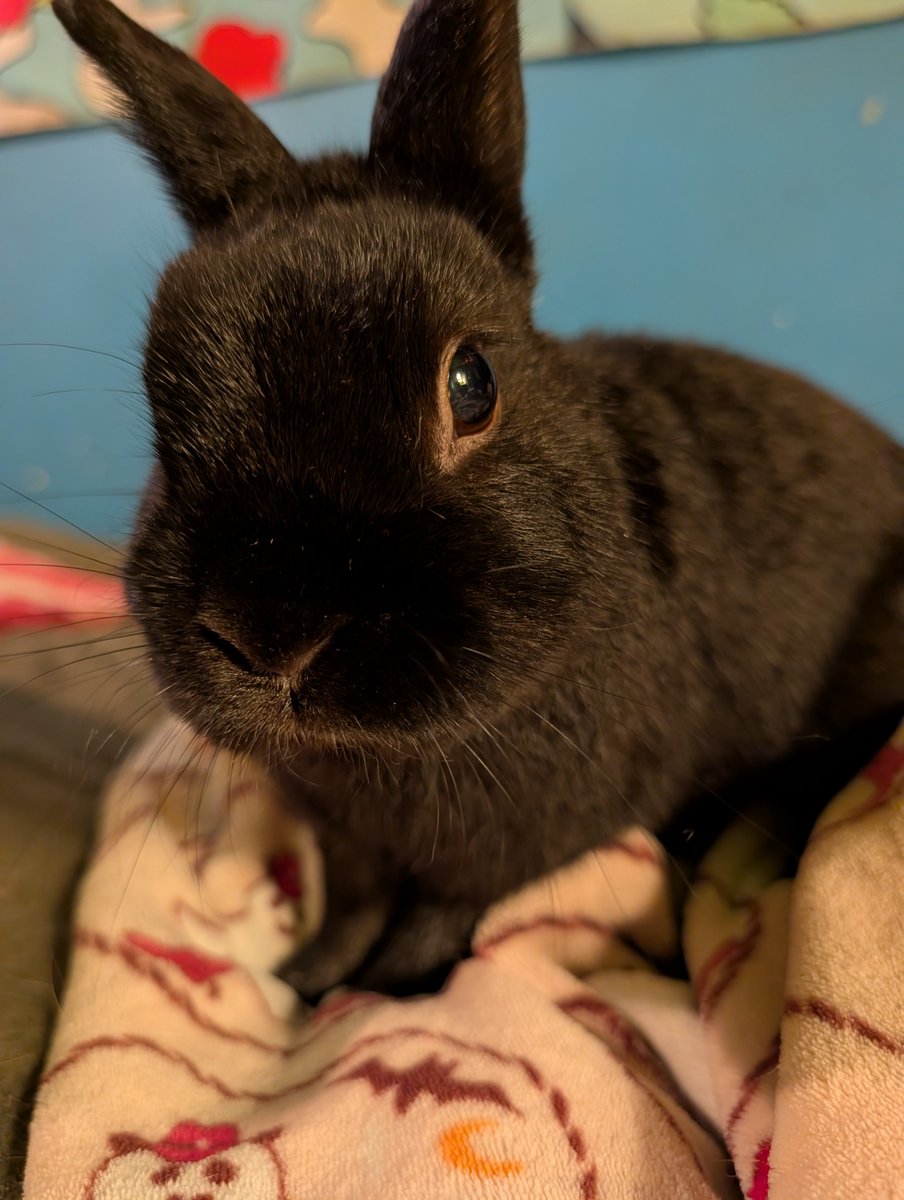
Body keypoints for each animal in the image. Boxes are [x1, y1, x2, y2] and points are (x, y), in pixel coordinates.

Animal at [52, 0, 904, 998]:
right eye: (161, 409)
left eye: (471, 384)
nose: (270, 642)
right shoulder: (348, 846)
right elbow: (350, 908)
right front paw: (304, 983)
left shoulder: (502, 853)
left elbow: (437, 920)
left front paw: (385, 995)